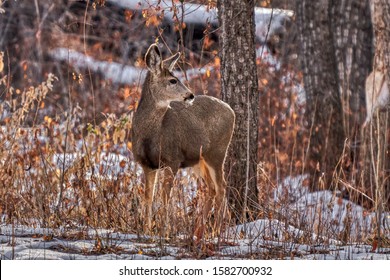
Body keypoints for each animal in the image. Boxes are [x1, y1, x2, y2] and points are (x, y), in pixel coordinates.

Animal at [131, 43, 235, 238]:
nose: (190, 95)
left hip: (217, 153)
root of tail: (232, 111)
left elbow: (165, 197)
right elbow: (148, 197)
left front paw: (164, 230)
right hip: (198, 160)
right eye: (173, 80)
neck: (152, 133)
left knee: (221, 187)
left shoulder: (173, 159)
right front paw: (147, 229)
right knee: (211, 188)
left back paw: (215, 232)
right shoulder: (146, 164)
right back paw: (199, 231)